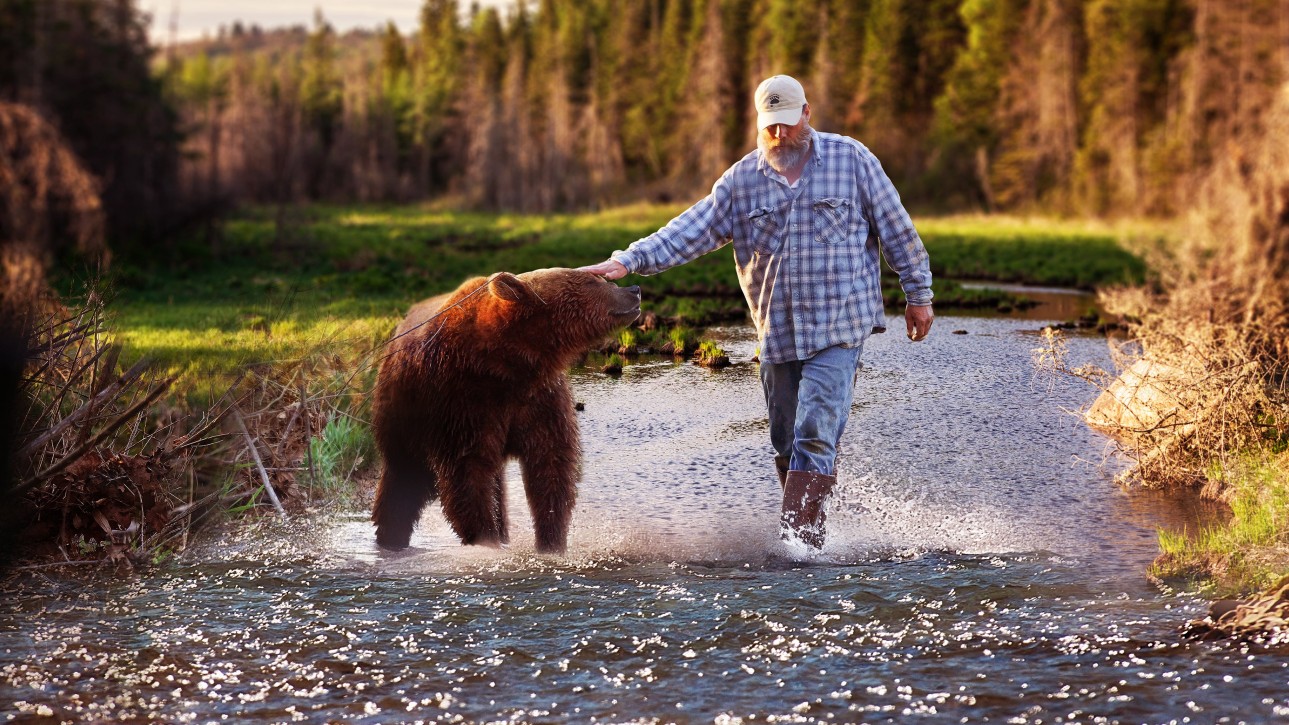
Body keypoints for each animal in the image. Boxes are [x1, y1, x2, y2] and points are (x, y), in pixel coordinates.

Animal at [371, 268, 641, 549]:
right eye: (592, 280)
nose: (634, 289)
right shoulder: (460, 399)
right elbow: (467, 474)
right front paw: (485, 539)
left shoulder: (539, 398)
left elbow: (551, 462)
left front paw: (550, 540)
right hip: (404, 420)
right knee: (402, 484)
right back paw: (391, 538)